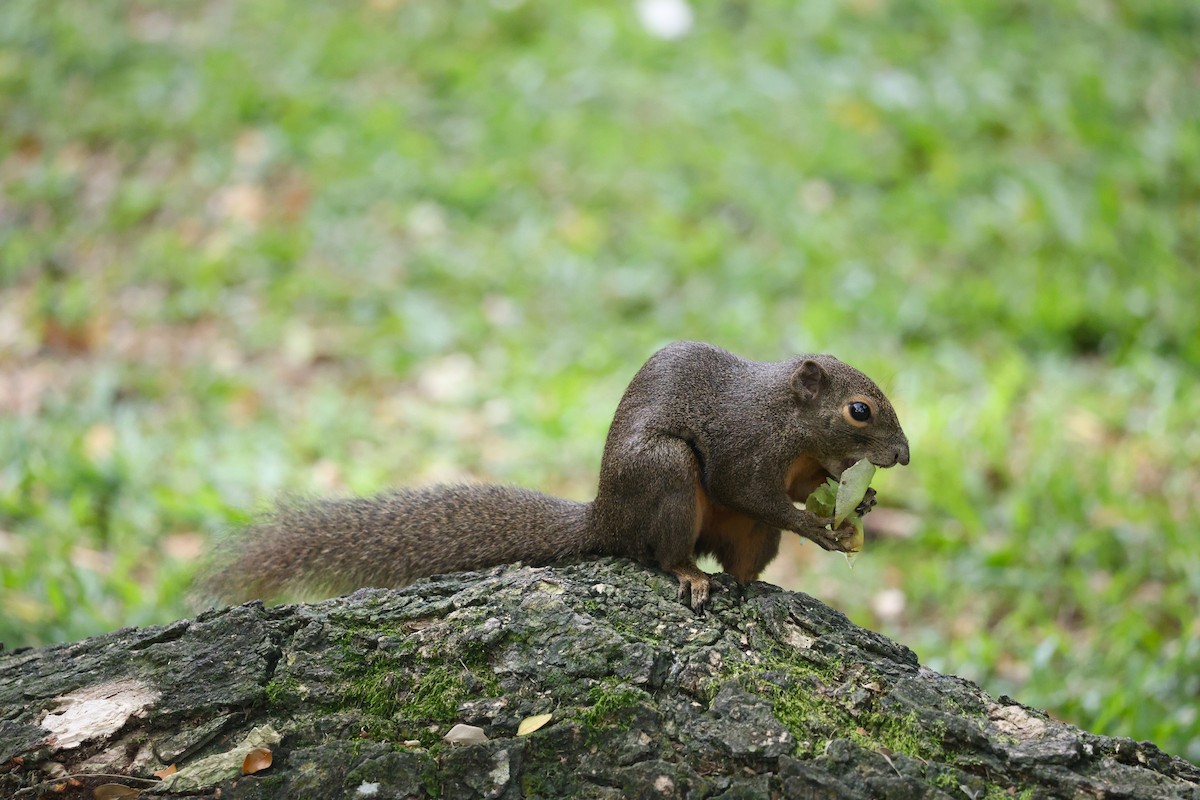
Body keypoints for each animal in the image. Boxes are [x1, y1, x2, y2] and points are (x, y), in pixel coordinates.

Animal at [205, 341, 910, 611]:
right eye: (860, 410)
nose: (903, 455)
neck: (788, 421)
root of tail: (606, 516)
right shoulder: (745, 443)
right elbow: (749, 490)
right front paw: (819, 527)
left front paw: (862, 501)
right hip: (666, 474)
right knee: (664, 553)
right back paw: (688, 573)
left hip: (744, 538)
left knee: (742, 561)